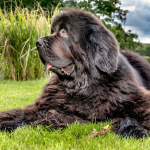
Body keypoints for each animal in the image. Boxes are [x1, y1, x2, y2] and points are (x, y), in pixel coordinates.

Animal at [0, 7, 150, 138]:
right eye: (53, 31)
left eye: (64, 32)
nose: (37, 42)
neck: (82, 84)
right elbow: (22, 114)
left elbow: (134, 115)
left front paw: (134, 129)